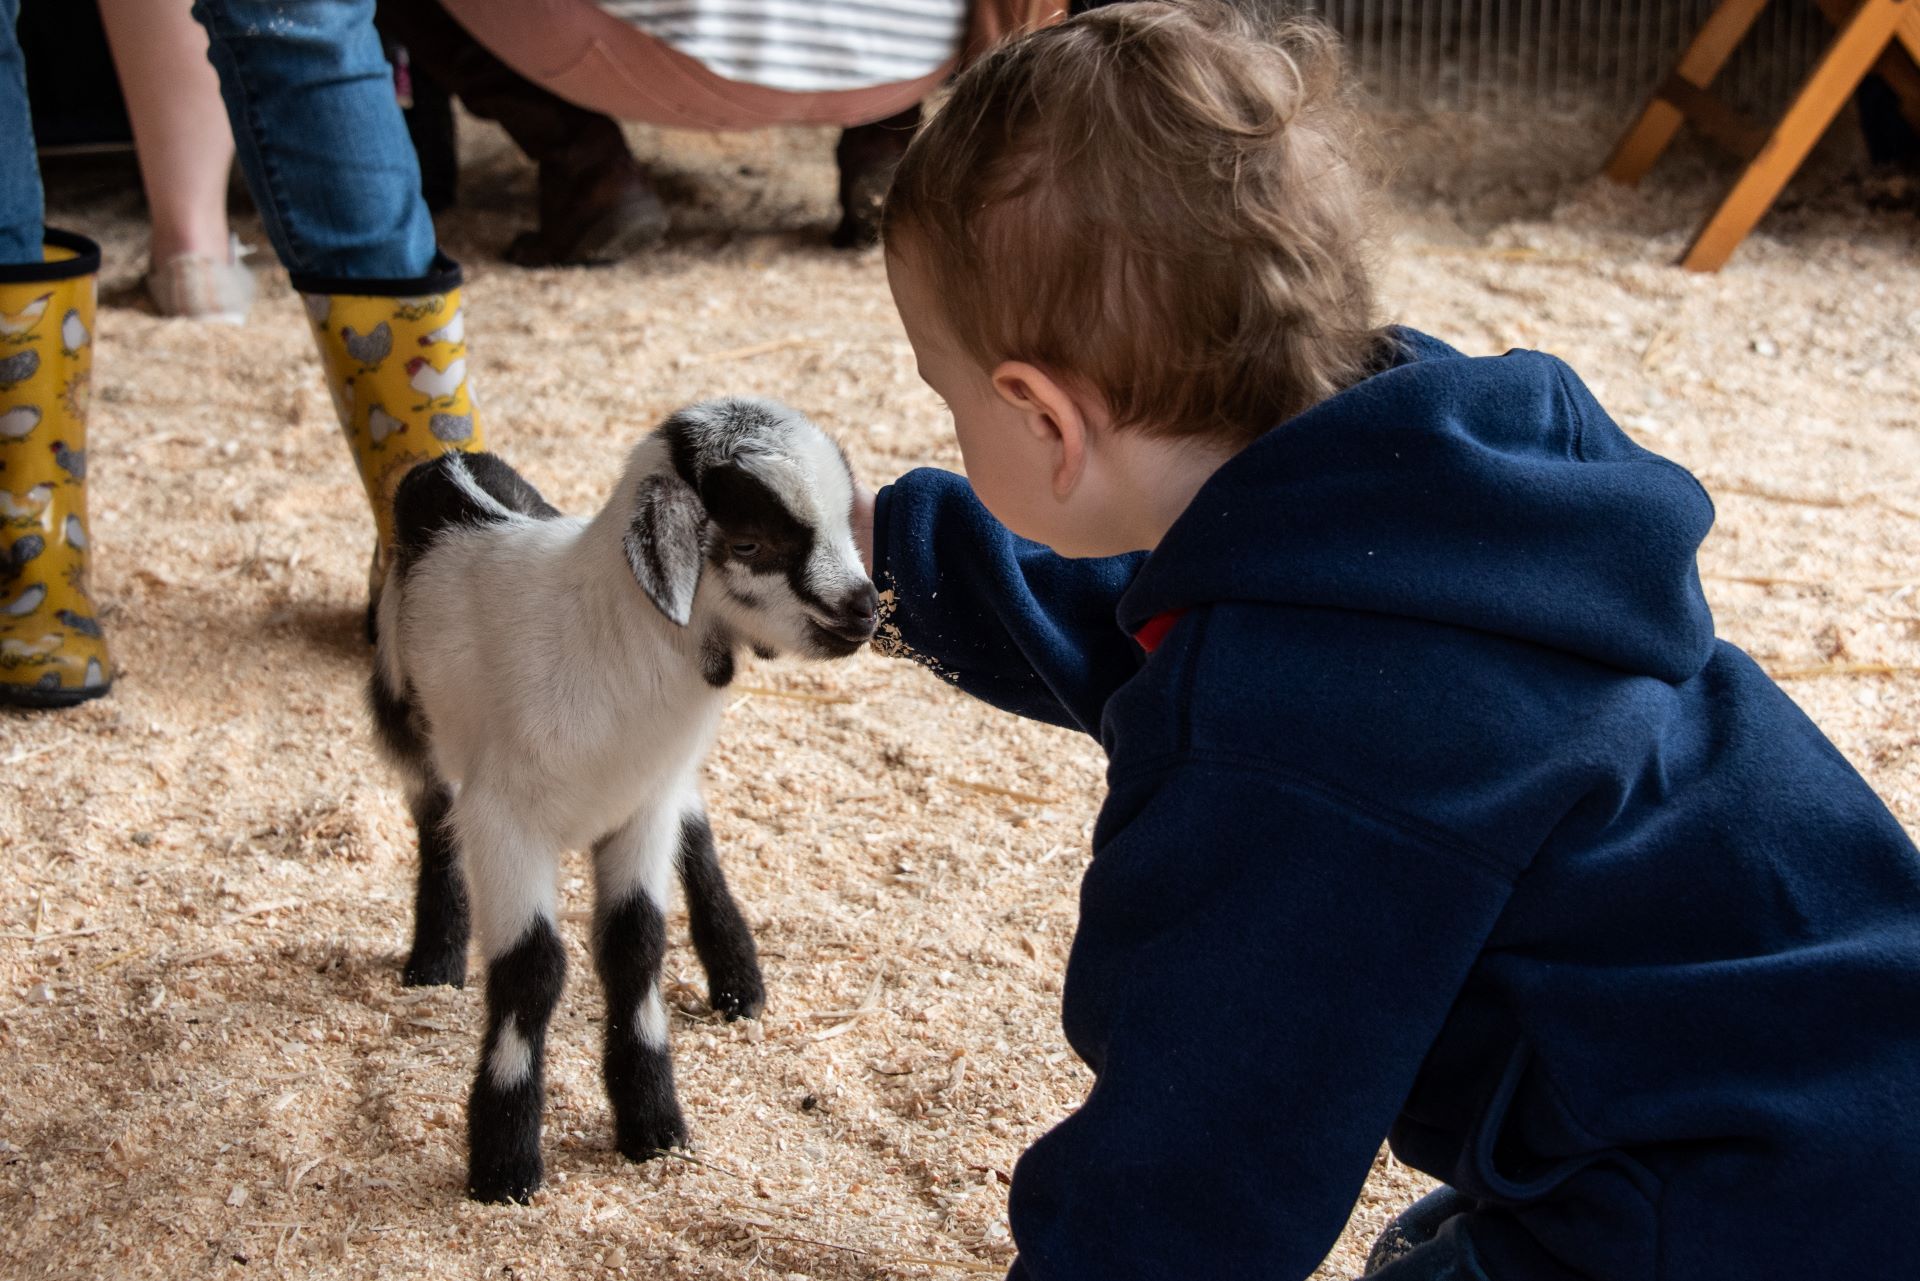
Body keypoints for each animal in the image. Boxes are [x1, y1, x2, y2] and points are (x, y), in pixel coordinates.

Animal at [367, 397, 878, 1203]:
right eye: (750, 540)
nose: (863, 610)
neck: (609, 636)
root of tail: (451, 466)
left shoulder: (642, 809)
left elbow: (635, 946)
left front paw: (653, 1123)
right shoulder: (504, 823)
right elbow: (532, 967)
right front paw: (504, 1160)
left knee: (696, 832)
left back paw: (736, 974)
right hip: (405, 704)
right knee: (432, 819)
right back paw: (435, 958)